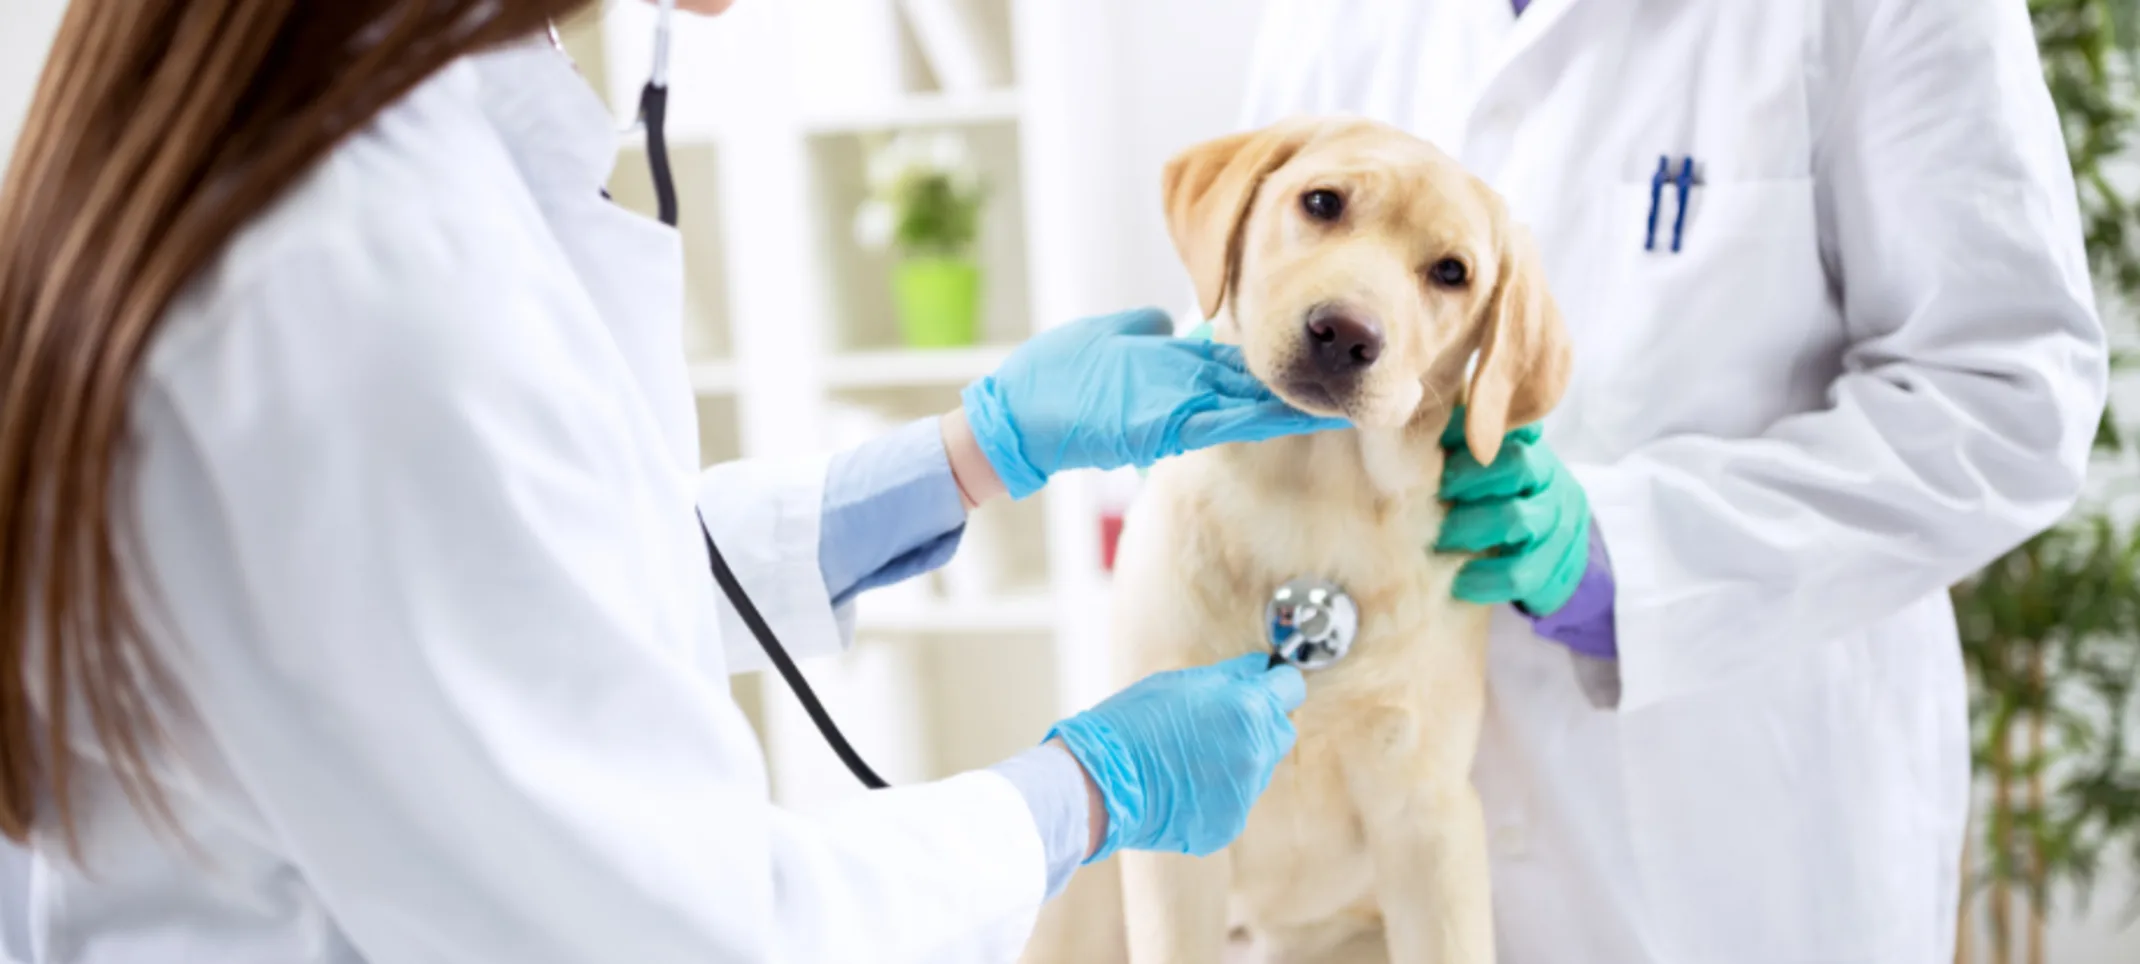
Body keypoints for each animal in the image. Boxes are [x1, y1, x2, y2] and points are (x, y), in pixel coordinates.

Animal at [1095, 114, 1566, 964]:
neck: (1314, 500)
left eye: (1452, 272)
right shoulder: (1171, 834)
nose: (1345, 332)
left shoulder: (1430, 823)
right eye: (1321, 202)